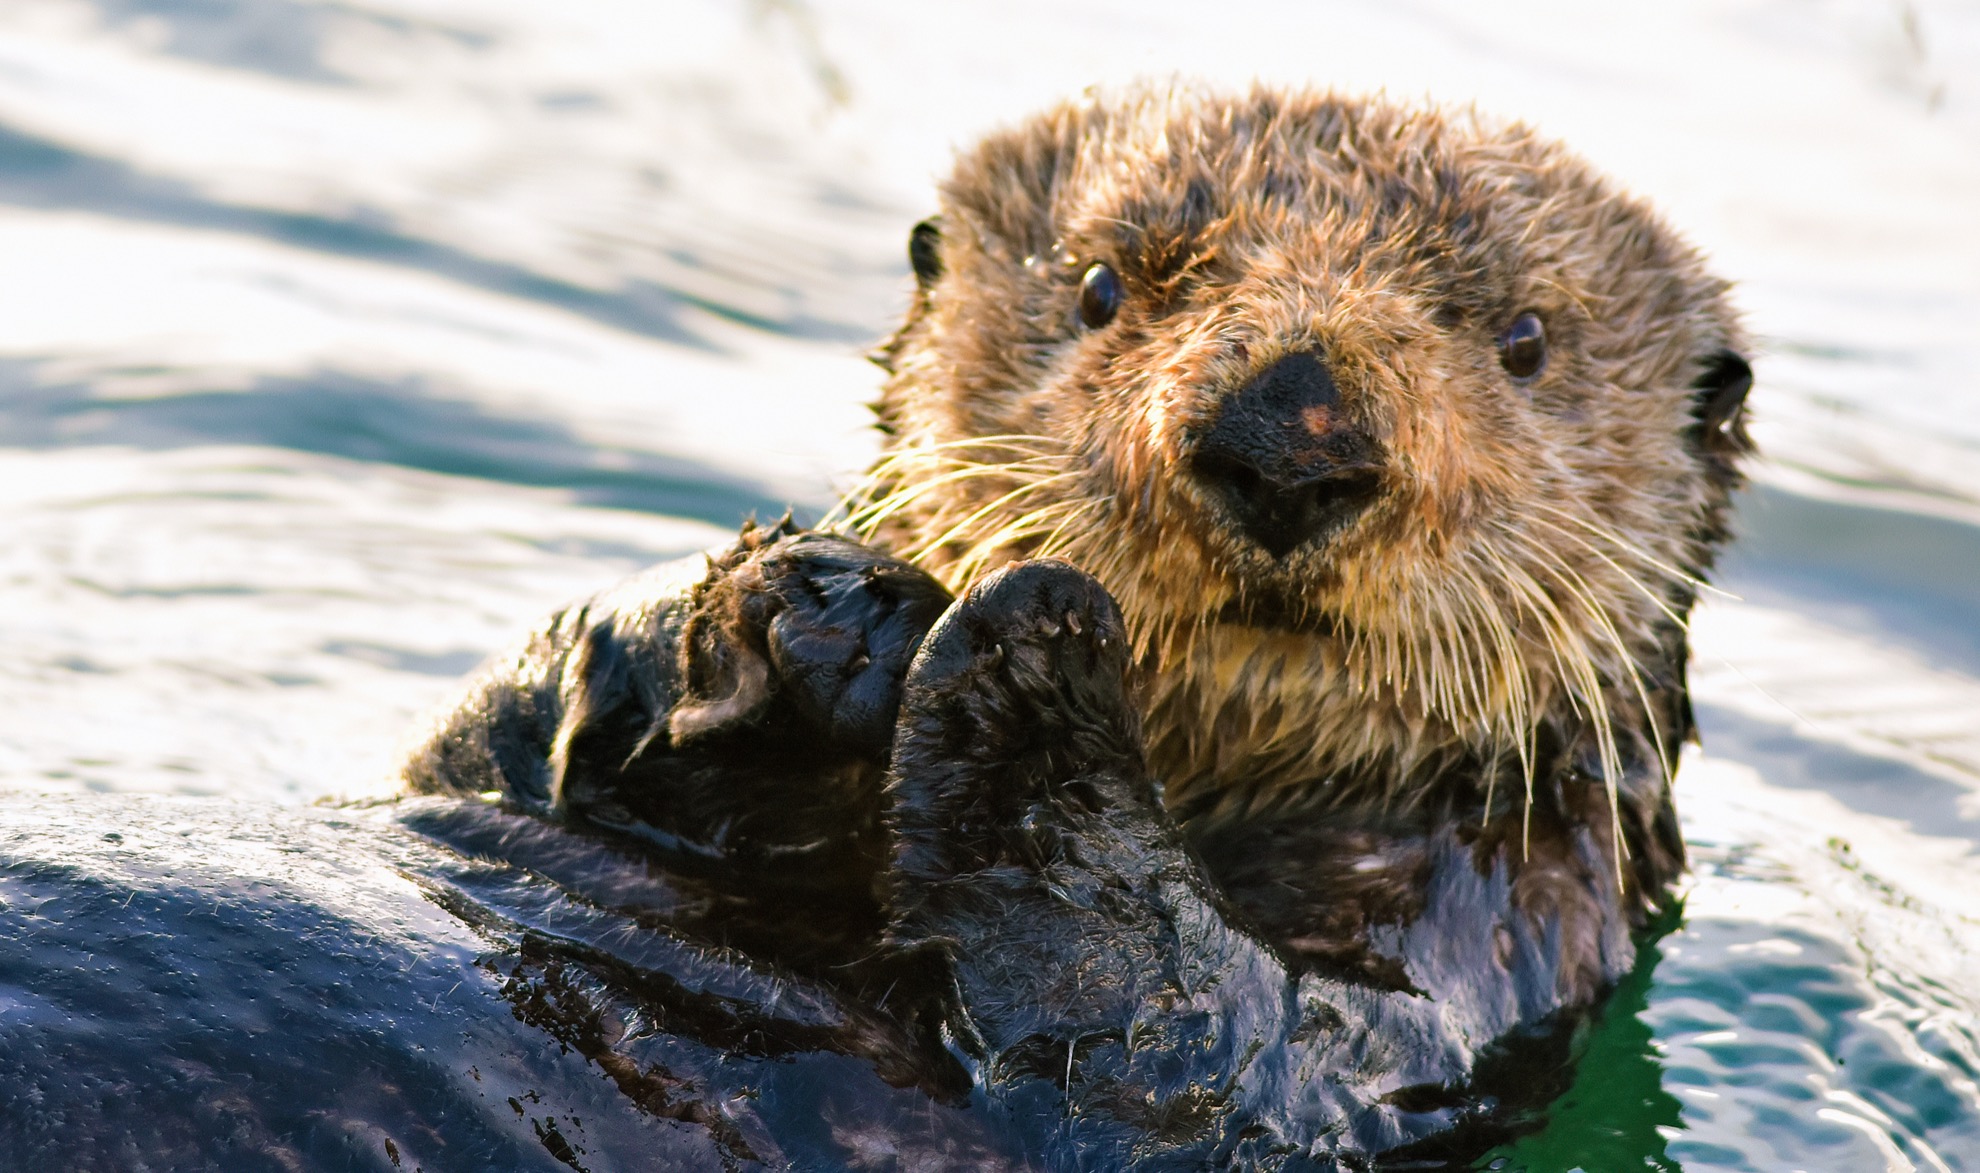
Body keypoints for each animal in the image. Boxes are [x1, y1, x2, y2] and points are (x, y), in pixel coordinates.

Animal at [399, 84, 1756, 1168]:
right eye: (1104, 287)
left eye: (1525, 341)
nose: (1289, 436)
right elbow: (476, 748)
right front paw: (821, 609)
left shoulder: (1498, 936)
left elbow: (1206, 1058)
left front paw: (1037, 652)